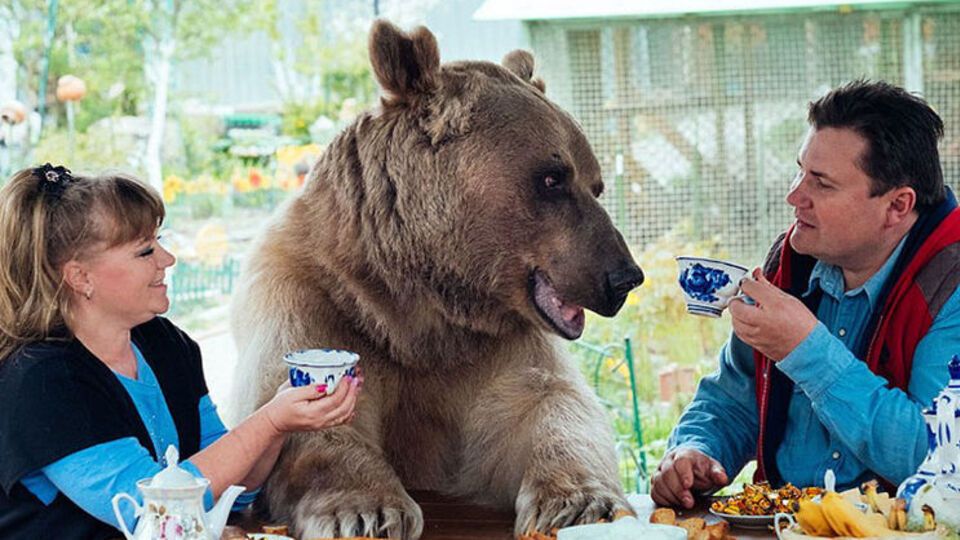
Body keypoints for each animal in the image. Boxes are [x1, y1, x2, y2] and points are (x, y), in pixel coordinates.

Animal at [229, 20, 645, 539]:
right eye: (553, 178)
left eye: (595, 184)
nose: (624, 276)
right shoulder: (314, 298)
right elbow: (302, 412)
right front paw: (367, 510)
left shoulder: (493, 346)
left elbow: (547, 405)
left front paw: (582, 503)